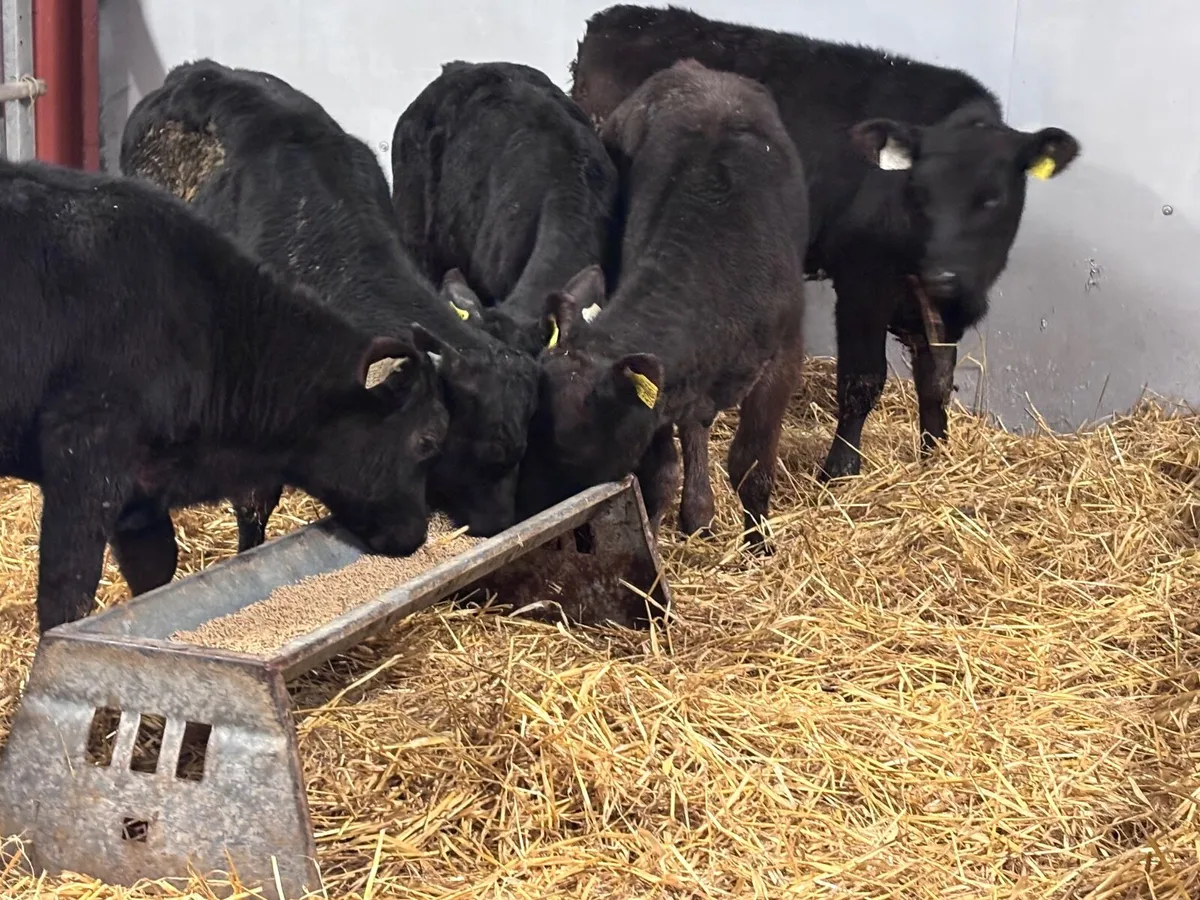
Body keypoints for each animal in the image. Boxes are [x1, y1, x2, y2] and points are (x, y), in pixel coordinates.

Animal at [0, 158, 448, 633]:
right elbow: (68, 597)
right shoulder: (84, 464)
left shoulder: (140, 499)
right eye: (427, 440)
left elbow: (155, 573)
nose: (416, 534)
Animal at [516, 60, 808, 553]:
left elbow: (751, 464)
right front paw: (652, 537)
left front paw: (758, 544)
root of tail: (693, 69)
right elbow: (659, 474)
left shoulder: (784, 355)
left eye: (569, 448)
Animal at [571, 5, 1081, 480]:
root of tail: (617, 18)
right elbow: (862, 379)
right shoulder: (863, 280)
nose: (945, 273)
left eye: (992, 198)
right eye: (918, 191)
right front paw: (840, 469)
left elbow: (936, 380)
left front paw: (935, 456)